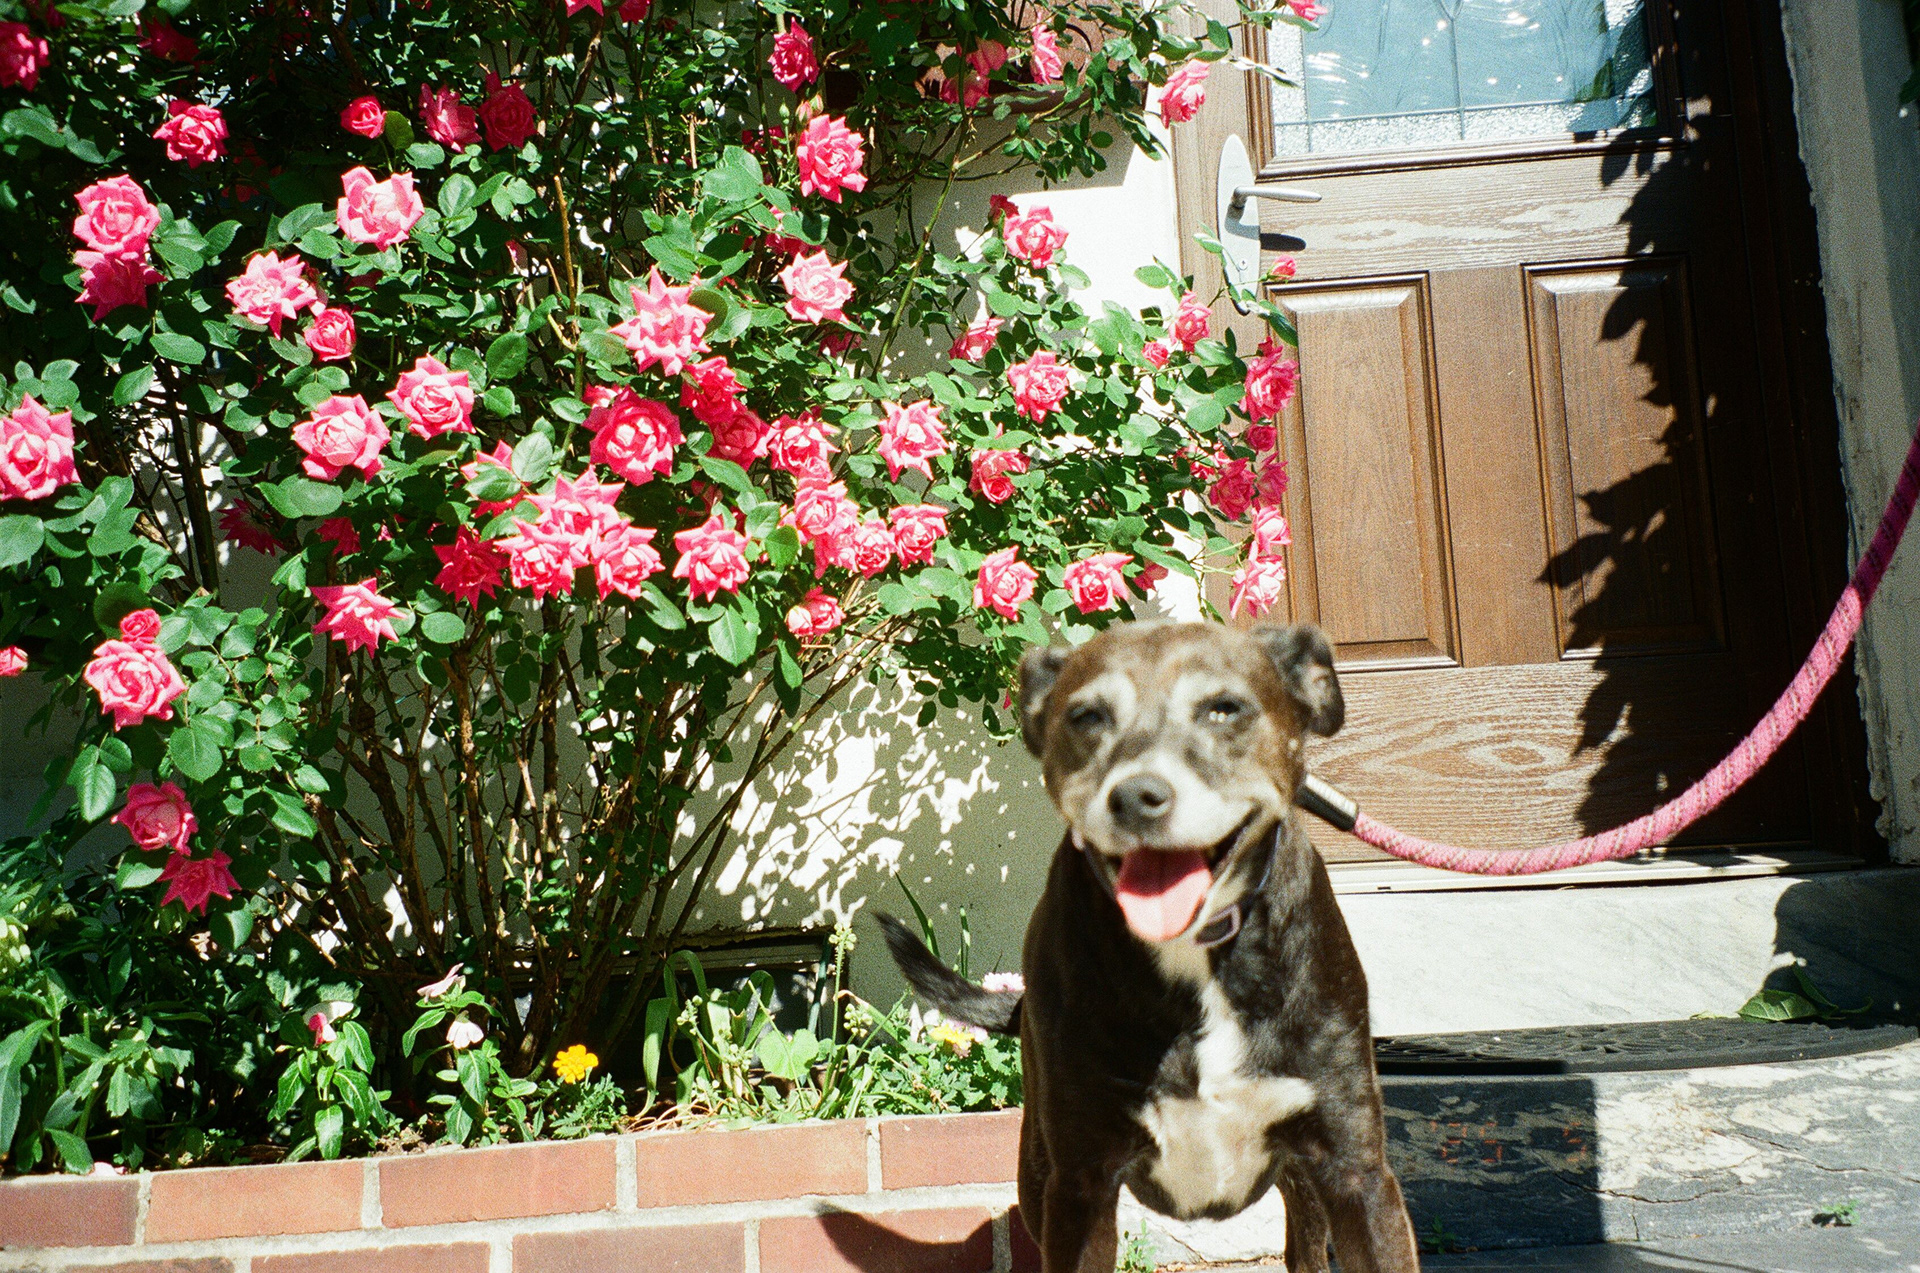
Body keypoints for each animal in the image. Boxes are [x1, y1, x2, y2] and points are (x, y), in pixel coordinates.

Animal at [881, 621, 1419, 1273]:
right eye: (1086, 716)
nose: (1137, 795)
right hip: (1037, 1170)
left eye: (1223, 708)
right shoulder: (1080, 1181)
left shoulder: (1356, 1172)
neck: (1193, 952)